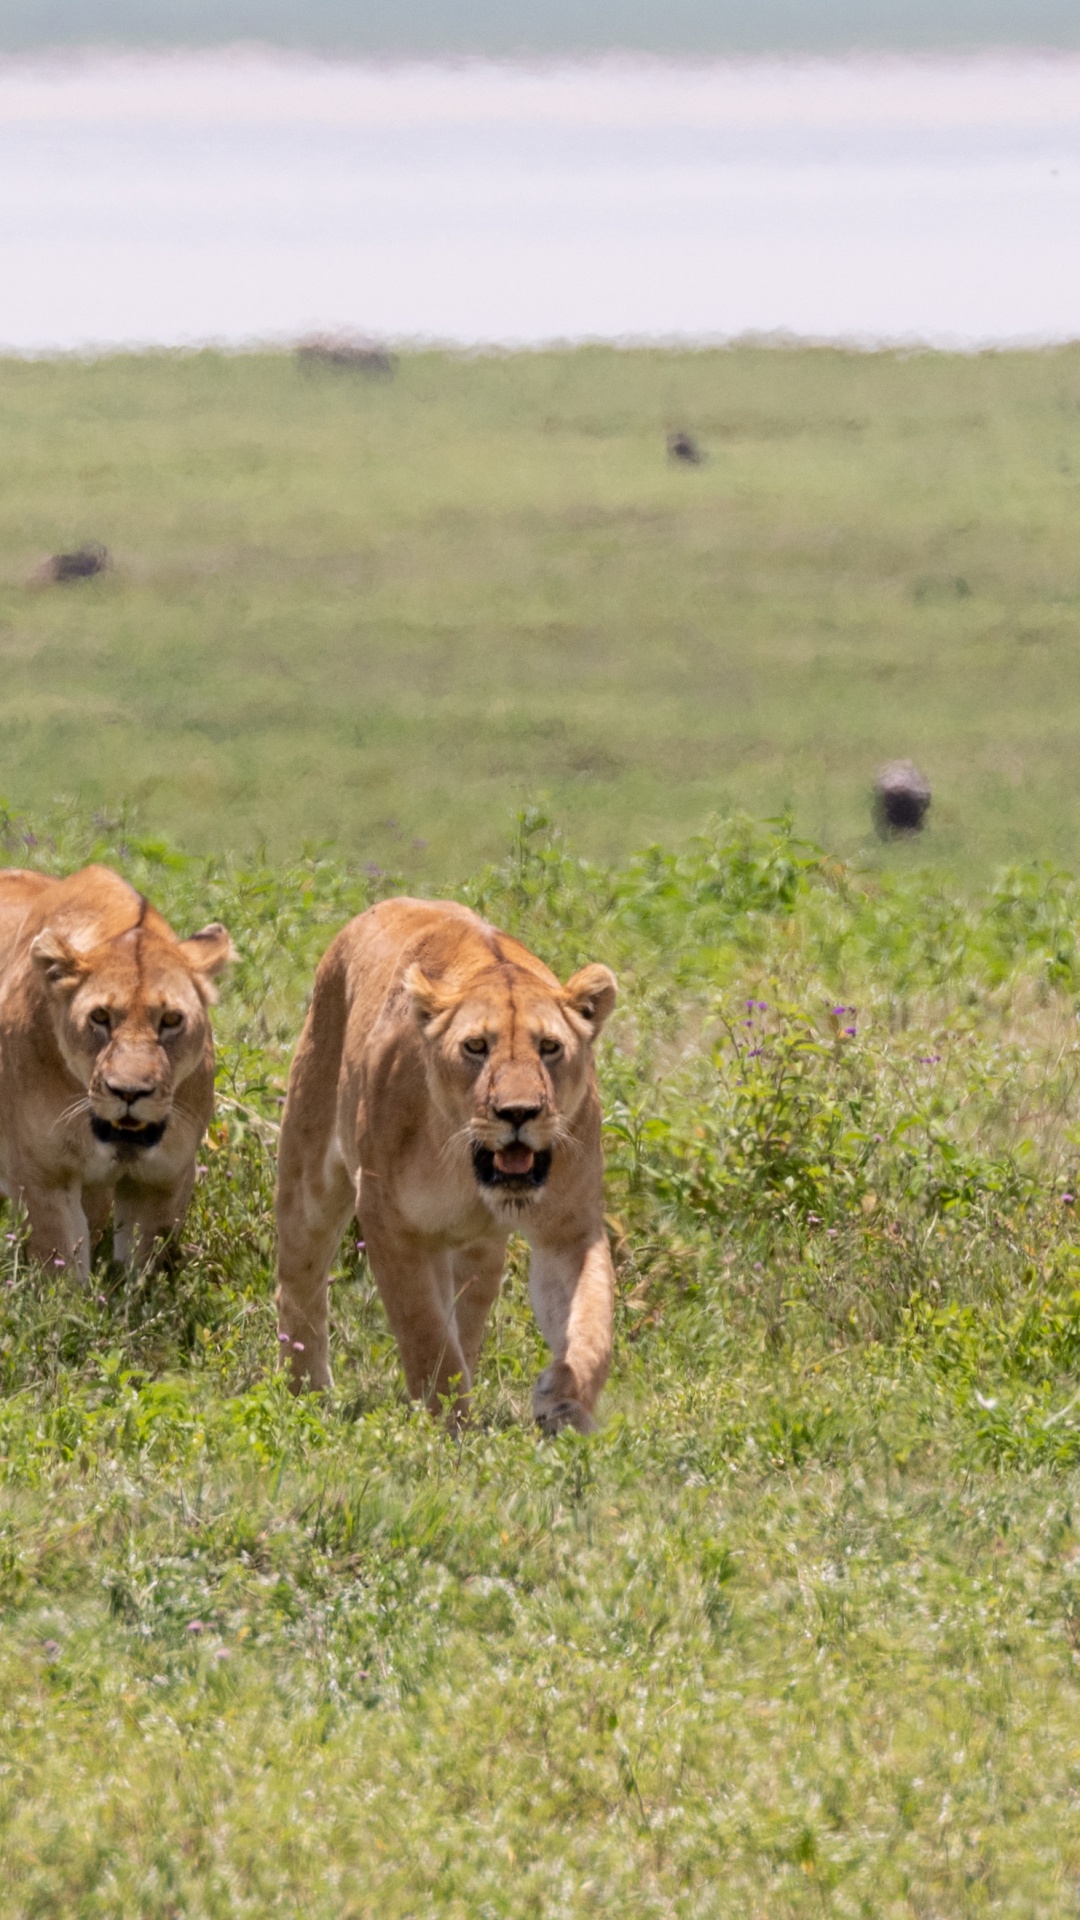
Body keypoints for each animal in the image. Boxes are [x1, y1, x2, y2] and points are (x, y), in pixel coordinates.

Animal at [0, 864, 233, 1277]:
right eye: (99, 1017)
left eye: (171, 1019)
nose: (129, 1092)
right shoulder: (42, 1175)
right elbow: (62, 1267)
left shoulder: (162, 1179)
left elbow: (140, 1268)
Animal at [275, 898, 618, 1433]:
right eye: (475, 1047)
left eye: (550, 1047)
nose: (518, 1112)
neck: (464, 1167)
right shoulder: (391, 1222)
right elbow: (426, 1336)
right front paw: (448, 1429)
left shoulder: (570, 1228)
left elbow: (591, 1323)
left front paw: (564, 1404)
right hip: (309, 1176)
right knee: (298, 1282)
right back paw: (305, 1395)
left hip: (479, 1250)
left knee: (469, 1316)